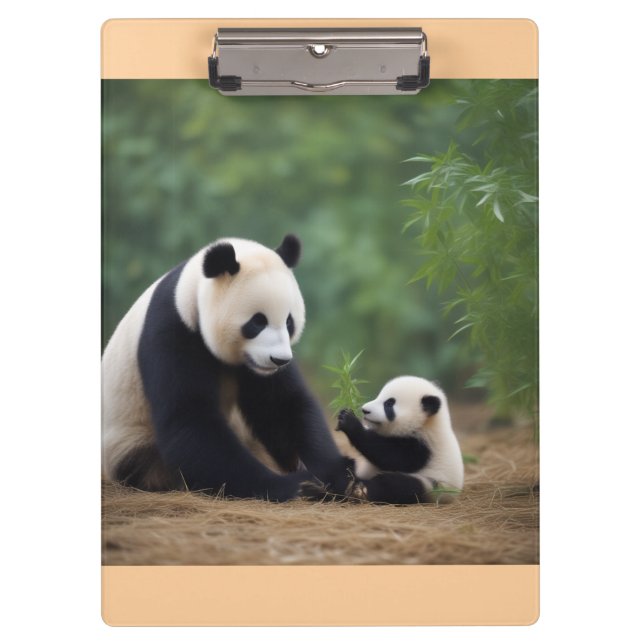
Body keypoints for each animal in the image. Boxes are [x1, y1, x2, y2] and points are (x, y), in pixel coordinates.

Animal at [102, 234, 354, 502]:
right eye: (257, 322)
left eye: (289, 322)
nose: (280, 360)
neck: (191, 290)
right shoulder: (172, 328)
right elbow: (189, 418)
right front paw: (292, 485)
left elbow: (282, 406)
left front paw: (336, 474)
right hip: (131, 444)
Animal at [335, 376, 464, 504]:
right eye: (379, 396)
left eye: (389, 404)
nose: (365, 410)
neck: (427, 423)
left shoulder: (424, 444)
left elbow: (393, 457)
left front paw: (349, 421)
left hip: (433, 487)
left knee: (398, 485)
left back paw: (361, 490)